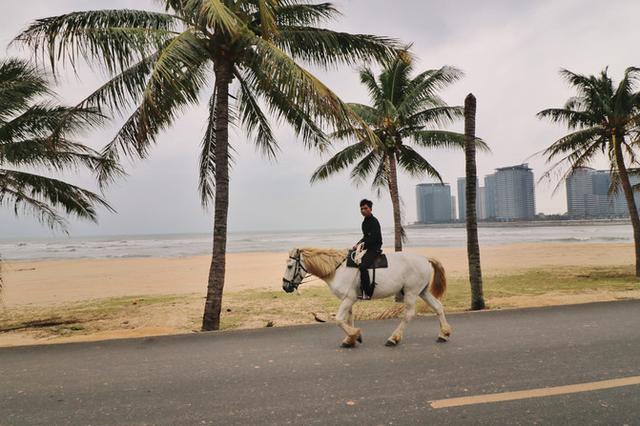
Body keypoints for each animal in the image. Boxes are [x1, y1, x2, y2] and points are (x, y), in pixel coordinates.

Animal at [282, 248, 452, 348]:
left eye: (290, 266)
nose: (285, 286)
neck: (338, 269)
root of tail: (424, 258)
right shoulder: (348, 300)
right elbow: (348, 319)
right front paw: (351, 339)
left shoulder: (348, 299)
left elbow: (339, 320)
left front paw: (354, 334)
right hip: (422, 291)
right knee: (438, 307)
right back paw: (443, 334)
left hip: (411, 292)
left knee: (408, 315)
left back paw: (393, 338)